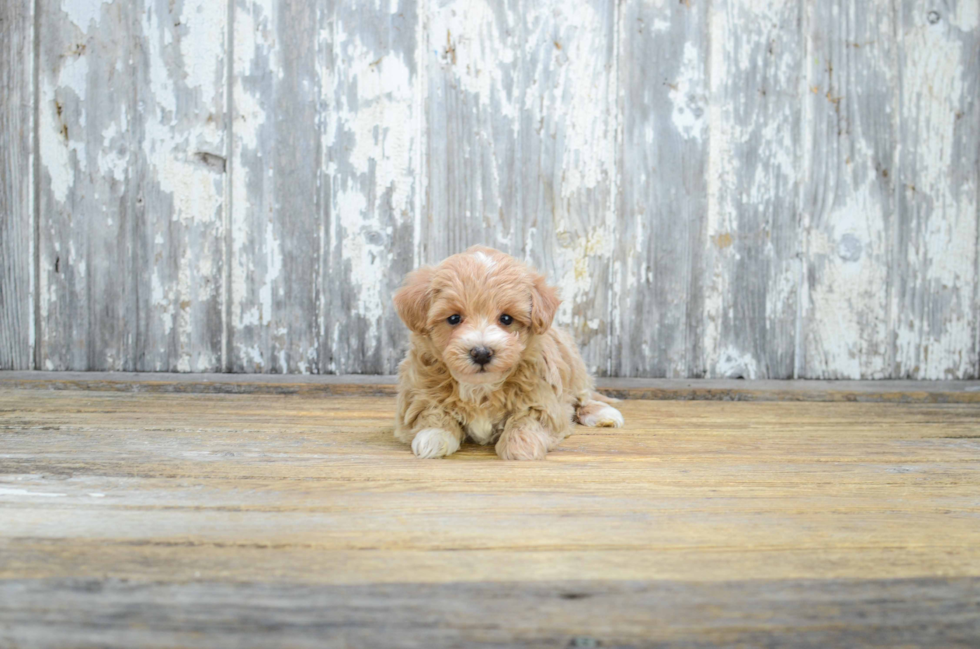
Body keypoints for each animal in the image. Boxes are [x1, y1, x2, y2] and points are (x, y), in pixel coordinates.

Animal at [388, 244, 620, 460]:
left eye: (506, 319)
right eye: (454, 318)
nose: (481, 353)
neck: (480, 387)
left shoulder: (543, 397)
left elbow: (527, 419)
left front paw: (520, 445)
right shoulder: (417, 392)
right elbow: (432, 411)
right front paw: (433, 436)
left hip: (573, 363)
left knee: (582, 397)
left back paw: (603, 413)